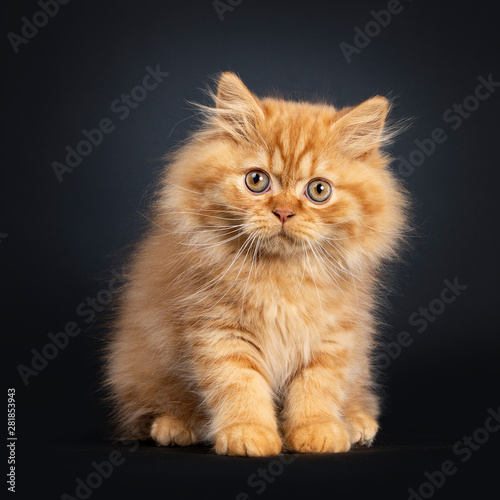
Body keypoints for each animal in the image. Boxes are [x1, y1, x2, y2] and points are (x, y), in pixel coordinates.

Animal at [103, 72, 408, 456]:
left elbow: (317, 385)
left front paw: (317, 430)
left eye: (319, 190)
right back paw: (175, 426)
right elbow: (240, 385)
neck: (281, 274)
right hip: (142, 368)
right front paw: (248, 433)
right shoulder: (220, 330)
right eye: (257, 180)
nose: (284, 212)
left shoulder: (333, 334)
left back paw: (355, 423)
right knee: (148, 409)